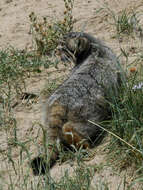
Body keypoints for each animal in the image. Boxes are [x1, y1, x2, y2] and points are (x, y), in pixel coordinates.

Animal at [30, 31, 123, 175]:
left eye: (62, 46)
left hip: (47, 119)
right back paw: (84, 145)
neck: (94, 48)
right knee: (72, 128)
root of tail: (60, 100)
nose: (55, 50)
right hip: (89, 118)